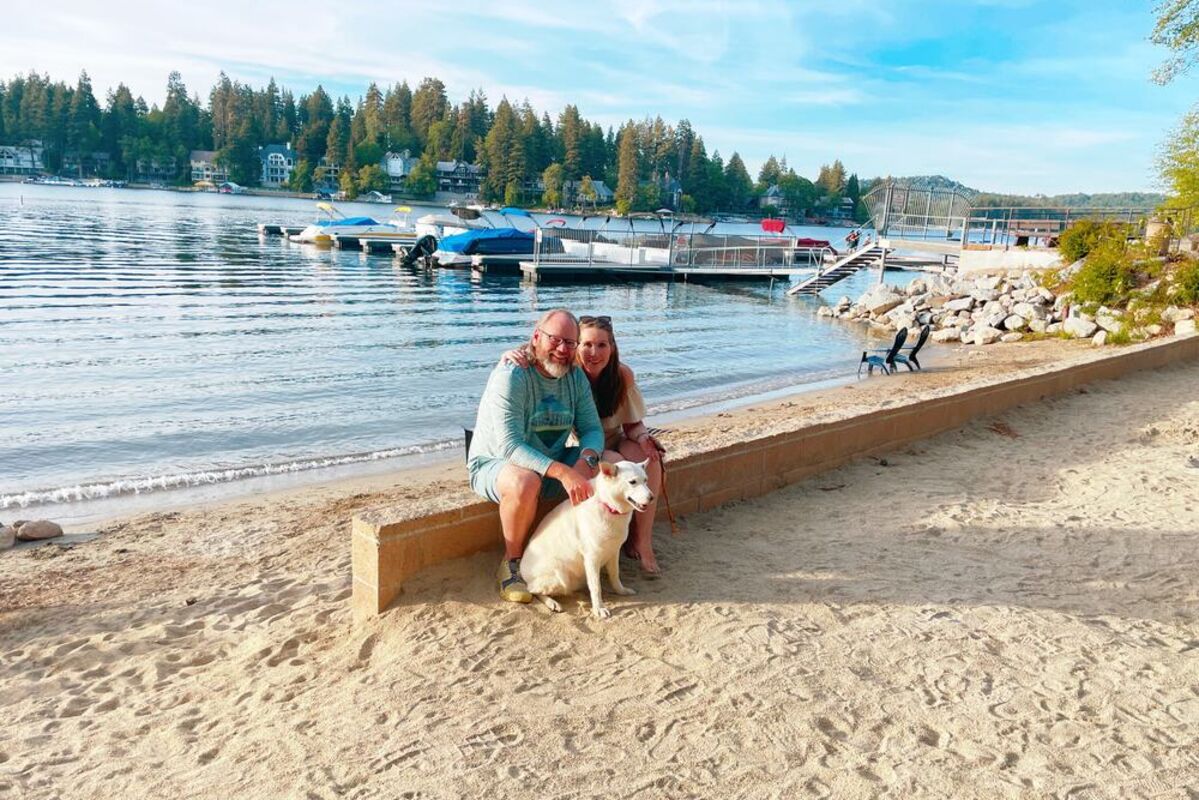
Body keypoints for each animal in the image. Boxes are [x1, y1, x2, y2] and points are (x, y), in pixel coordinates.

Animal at [520, 455, 657, 618]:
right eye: (632, 482)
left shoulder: (614, 551)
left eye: (646, 480)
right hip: (559, 576)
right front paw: (598, 608)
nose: (652, 497)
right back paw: (552, 602)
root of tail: (522, 570)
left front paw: (621, 591)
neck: (608, 505)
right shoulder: (592, 558)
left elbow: (615, 576)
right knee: (531, 590)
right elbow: (596, 588)